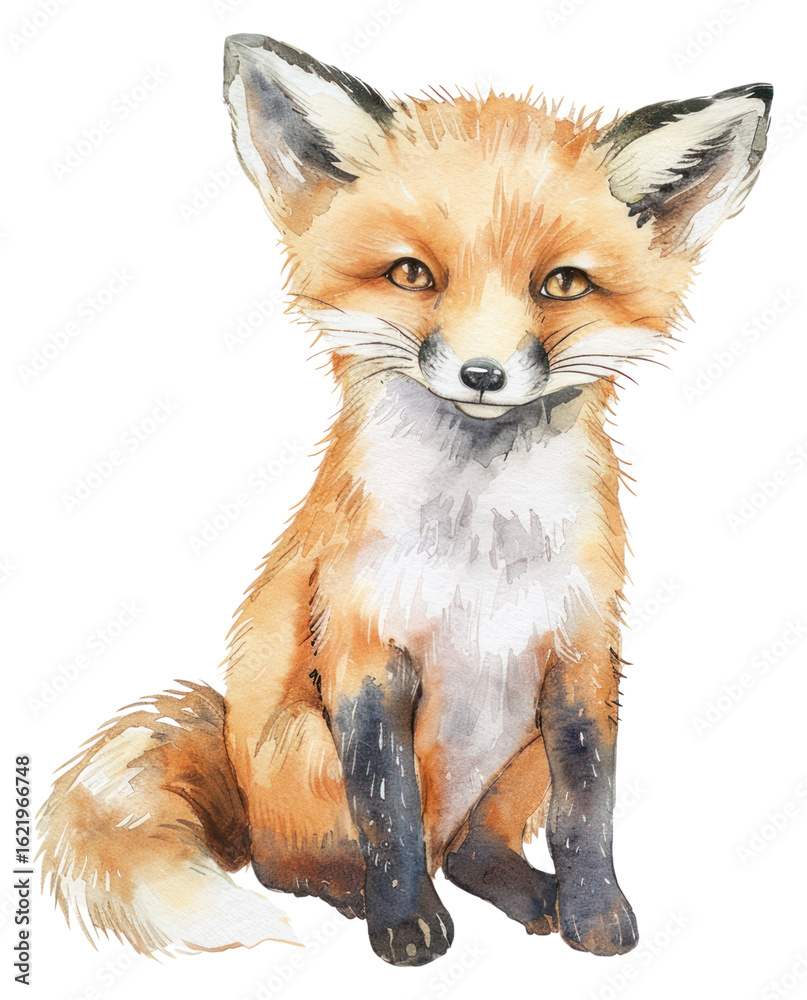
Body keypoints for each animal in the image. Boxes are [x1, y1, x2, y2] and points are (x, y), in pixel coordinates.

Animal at [38, 34, 772, 967]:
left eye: (562, 285)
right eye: (411, 274)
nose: (482, 374)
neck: (481, 548)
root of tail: (239, 781)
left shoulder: (582, 656)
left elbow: (586, 812)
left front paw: (596, 916)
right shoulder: (361, 647)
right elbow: (387, 810)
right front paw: (403, 924)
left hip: (514, 759)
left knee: (466, 851)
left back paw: (524, 891)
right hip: (304, 756)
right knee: (294, 865)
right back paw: (353, 897)